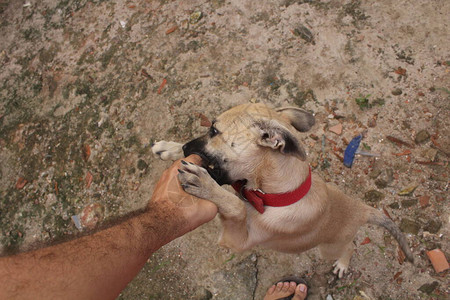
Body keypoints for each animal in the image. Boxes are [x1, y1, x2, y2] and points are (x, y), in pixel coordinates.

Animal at [153, 103, 414, 276]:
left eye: (214, 131)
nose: (185, 148)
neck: (271, 193)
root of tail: (361, 208)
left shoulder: (237, 241)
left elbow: (236, 206)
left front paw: (204, 184)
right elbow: (236, 200)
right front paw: (169, 147)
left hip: (329, 248)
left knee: (350, 247)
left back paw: (342, 264)